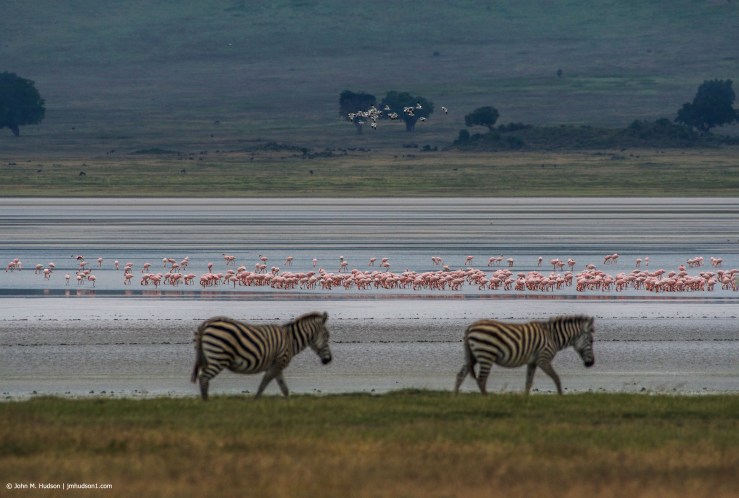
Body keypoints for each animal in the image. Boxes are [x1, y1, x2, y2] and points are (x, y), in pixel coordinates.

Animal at [191, 311, 332, 400]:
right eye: (328, 336)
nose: (329, 360)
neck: (290, 340)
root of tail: (206, 324)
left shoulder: (277, 365)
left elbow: (284, 388)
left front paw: (288, 403)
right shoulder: (279, 362)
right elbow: (264, 383)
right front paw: (256, 400)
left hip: (210, 357)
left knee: (203, 378)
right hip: (218, 358)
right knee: (203, 378)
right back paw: (206, 403)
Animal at [454, 315, 595, 395]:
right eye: (591, 341)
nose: (591, 363)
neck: (552, 337)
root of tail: (470, 328)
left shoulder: (533, 362)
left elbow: (528, 382)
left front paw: (525, 401)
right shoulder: (543, 359)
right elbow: (556, 378)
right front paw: (560, 397)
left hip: (473, 357)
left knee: (460, 375)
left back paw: (455, 397)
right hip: (486, 354)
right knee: (481, 379)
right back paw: (486, 398)